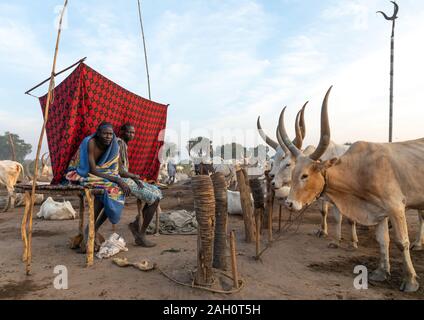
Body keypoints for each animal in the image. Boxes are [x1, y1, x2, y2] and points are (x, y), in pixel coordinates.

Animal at [278, 85, 424, 292]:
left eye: (305, 175)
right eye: (292, 173)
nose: (289, 203)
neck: (360, 169)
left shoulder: (395, 207)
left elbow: (401, 242)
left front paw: (410, 280)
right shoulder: (378, 211)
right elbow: (383, 240)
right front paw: (381, 272)